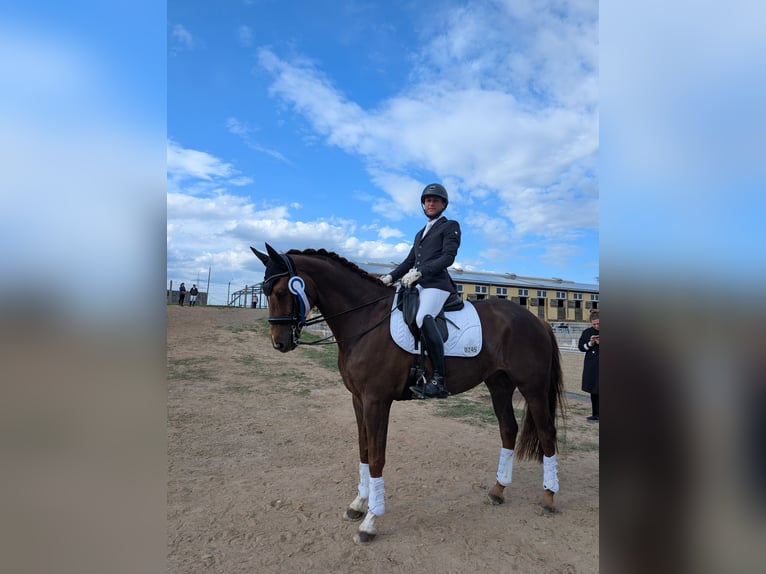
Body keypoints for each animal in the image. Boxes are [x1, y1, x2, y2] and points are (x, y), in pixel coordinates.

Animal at [252, 244, 565, 544]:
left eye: (281, 291)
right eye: (265, 291)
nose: (279, 343)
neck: (365, 319)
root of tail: (536, 320)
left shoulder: (377, 400)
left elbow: (377, 457)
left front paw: (370, 522)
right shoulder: (358, 399)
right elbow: (363, 450)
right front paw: (358, 504)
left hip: (532, 386)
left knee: (547, 433)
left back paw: (548, 497)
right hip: (498, 384)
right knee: (508, 430)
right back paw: (498, 490)